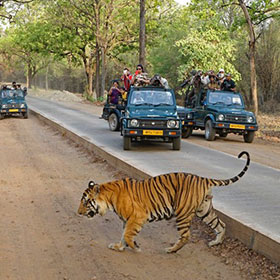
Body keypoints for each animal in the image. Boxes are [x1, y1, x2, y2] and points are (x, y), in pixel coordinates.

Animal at [78, 151, 249, 254]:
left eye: (85, 202)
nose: (78, 213)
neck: (108, 198)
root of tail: (203, 178)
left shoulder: (137, 217)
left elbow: (127, 235)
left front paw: (135, 248)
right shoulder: (127, 220)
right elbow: (123, 235)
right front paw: (119, 247)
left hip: (182, 213)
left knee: (186, 236)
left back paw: (171, 250)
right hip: (204, 210)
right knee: (221, 224)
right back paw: (216, 242)